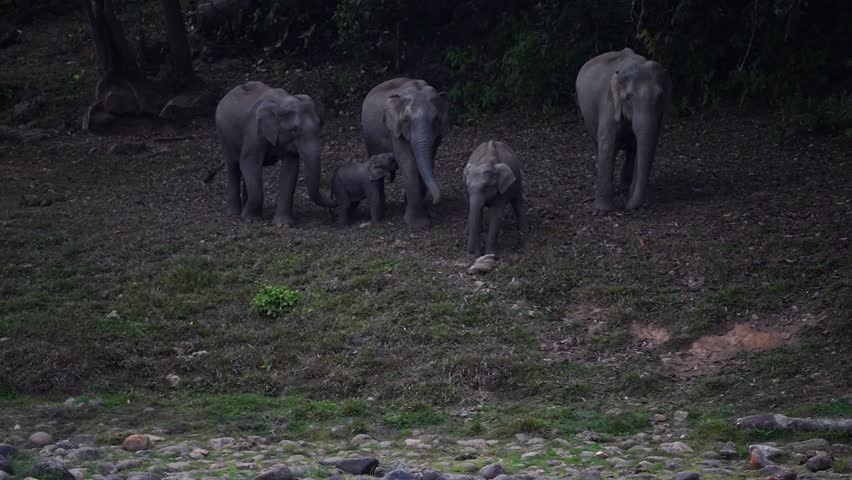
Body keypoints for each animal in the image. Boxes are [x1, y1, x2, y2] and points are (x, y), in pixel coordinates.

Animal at [214, 81, 335, 225]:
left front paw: (283, 224)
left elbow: (290, 169)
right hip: (224, 135)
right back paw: (234, 213)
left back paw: (244, 207)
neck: (281, 102)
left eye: (319, 127)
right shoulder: (253, 133)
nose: (334, 203)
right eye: (294, 130)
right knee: (233, 166)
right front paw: (250, 219)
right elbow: (249, 163)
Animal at [361, 78, 450, 228]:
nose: (435, 202)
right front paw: (417, 224)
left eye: (436, 120)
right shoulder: (395, 131)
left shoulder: (437, 136)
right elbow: (408, 164)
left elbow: (428, 160)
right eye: (406, 121)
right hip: (369, 141)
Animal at [575, 48, 671, 214]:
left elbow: (646, 145)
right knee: (598, 144)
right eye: (628, 97)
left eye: (660, 96)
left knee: (632, 150)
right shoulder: (609, 105)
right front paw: (601, 211)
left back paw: (625, 188)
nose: (627, 207)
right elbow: (607, 145)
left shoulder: (659, 115)